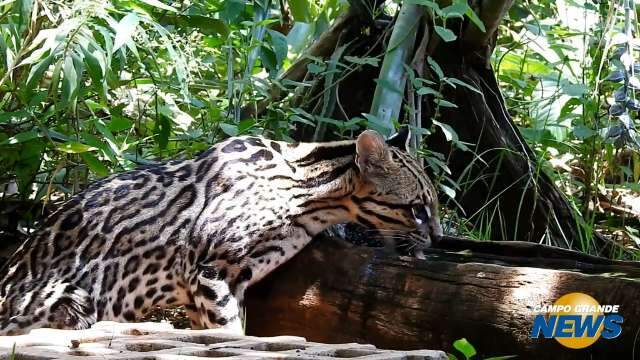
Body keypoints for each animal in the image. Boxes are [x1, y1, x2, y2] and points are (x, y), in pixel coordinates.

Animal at [0, 129, 440, 334]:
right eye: (418, 209)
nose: (437, 238)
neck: (304, 183)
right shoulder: (209, 269)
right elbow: (231, 331)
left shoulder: (223, 284)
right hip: (73, 299)